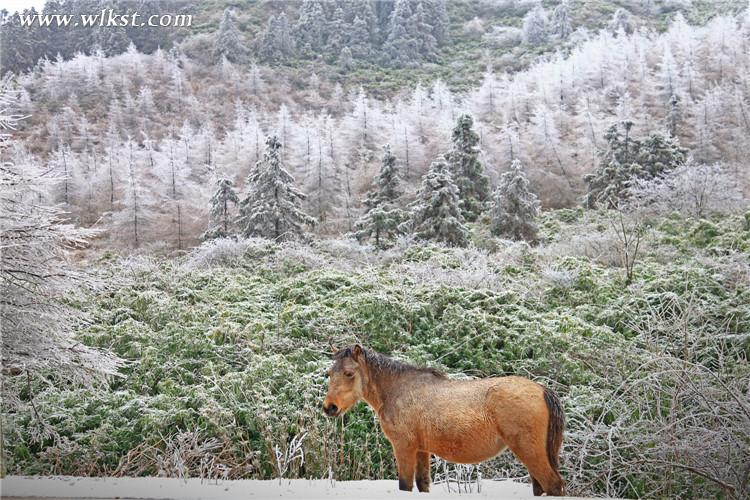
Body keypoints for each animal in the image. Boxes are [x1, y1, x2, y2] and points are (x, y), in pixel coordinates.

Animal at [322, 346, 564, 494]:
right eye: (329, 373)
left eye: (349, 373)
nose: (329, 407)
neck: (396, 390)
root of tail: (543, 390)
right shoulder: (421, 450)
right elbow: (422, 484)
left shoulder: (404, 447)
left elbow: (405, 485)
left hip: (529, 451)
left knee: (552, 484)